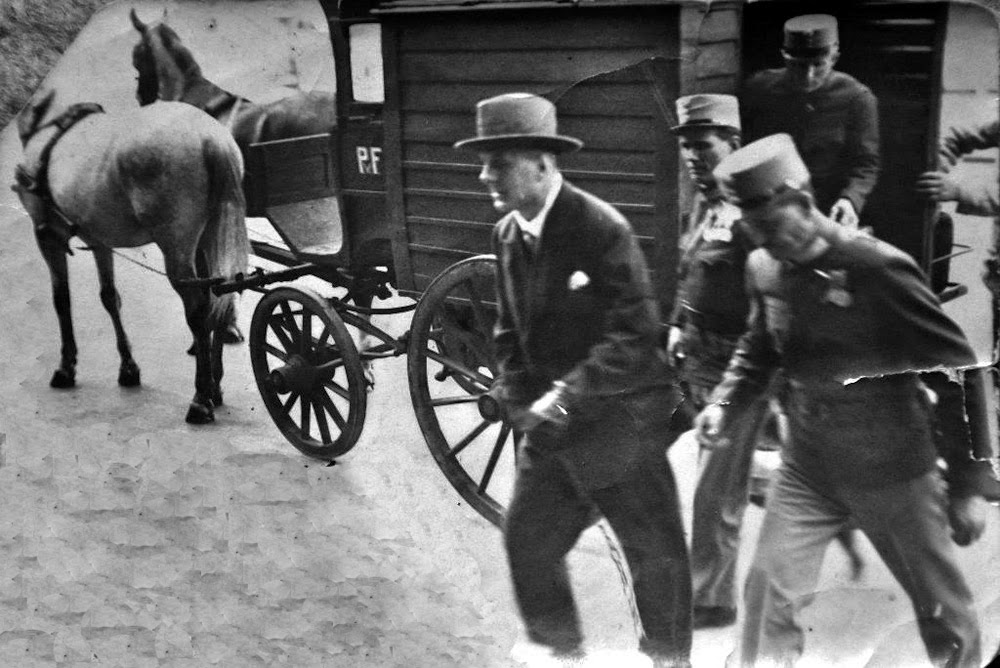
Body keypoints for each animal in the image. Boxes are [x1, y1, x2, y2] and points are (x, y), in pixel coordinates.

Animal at [13, 90, 249, 424]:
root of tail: (209, 139)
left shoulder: (47, 236)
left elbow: (61, 300)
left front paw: (66, 367)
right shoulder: (99, 241)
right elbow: (110, 298)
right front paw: (128, 368)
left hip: (176, 246)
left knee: (198, 310)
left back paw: (201, 399)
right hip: (209, 237)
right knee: (217, 295)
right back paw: (215, 388)